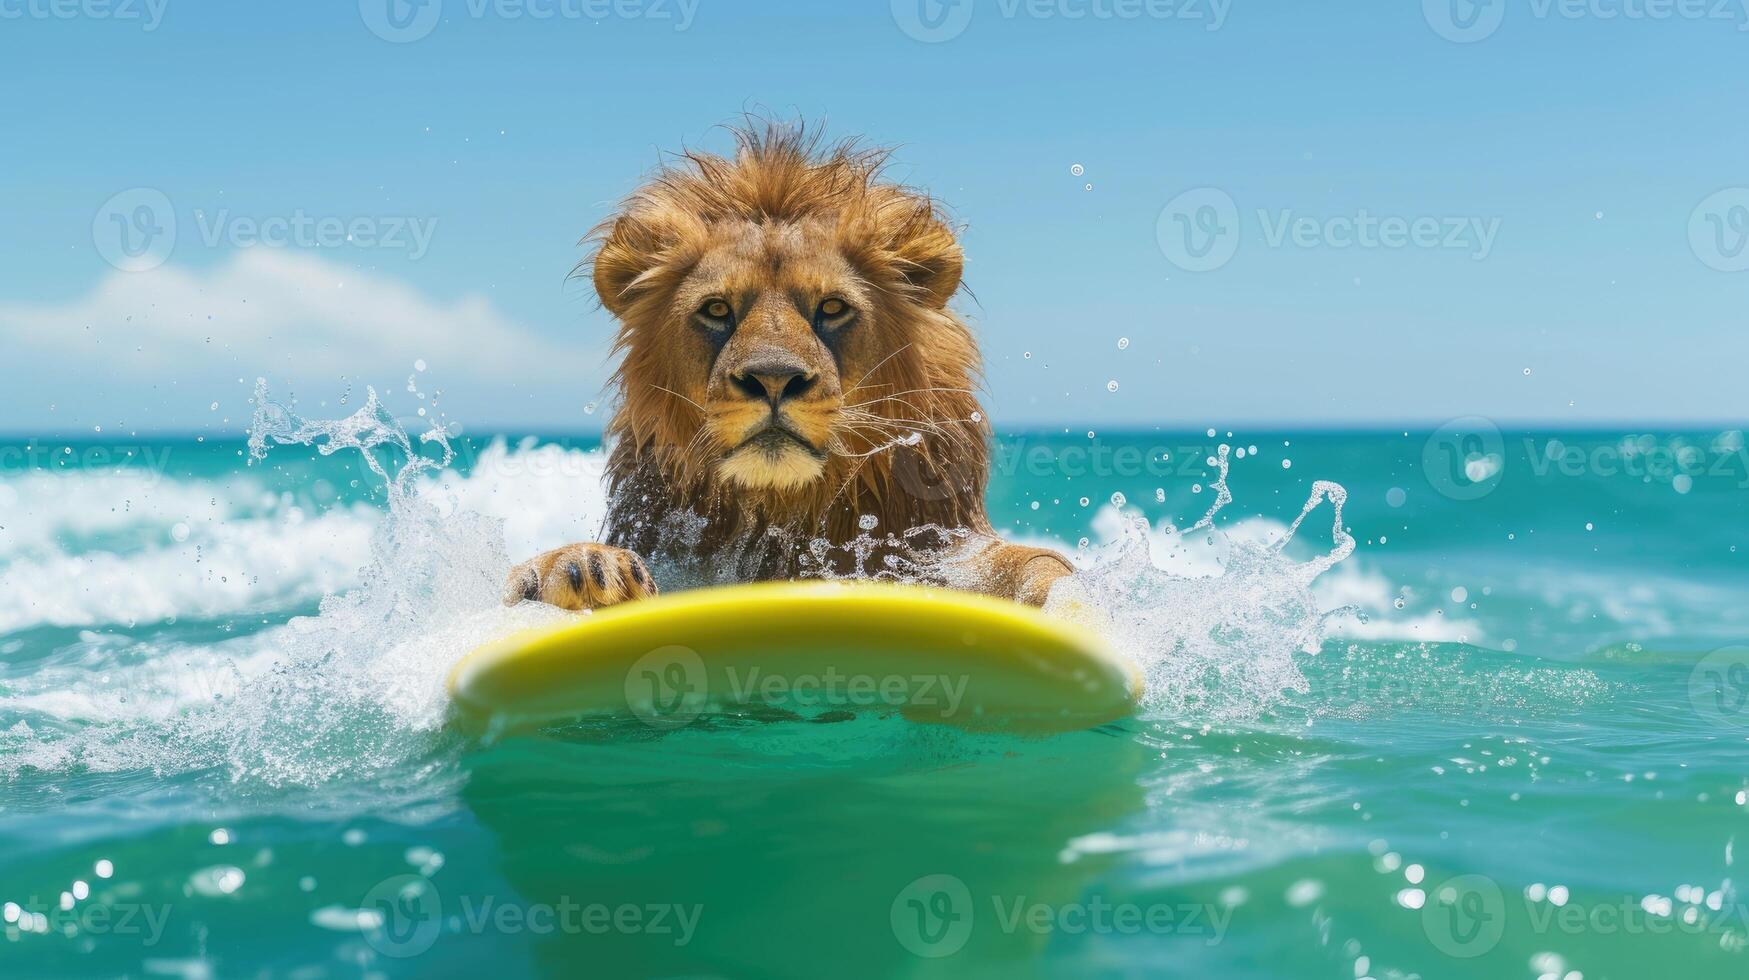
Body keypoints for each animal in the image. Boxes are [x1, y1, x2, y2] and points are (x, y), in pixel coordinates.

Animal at [507, 120, 1070, 612]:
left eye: (832, 307)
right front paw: (583, 567)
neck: (782, 519)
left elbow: (1032, 565)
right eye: (717, 309)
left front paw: (1071, 601)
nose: (773, 379)